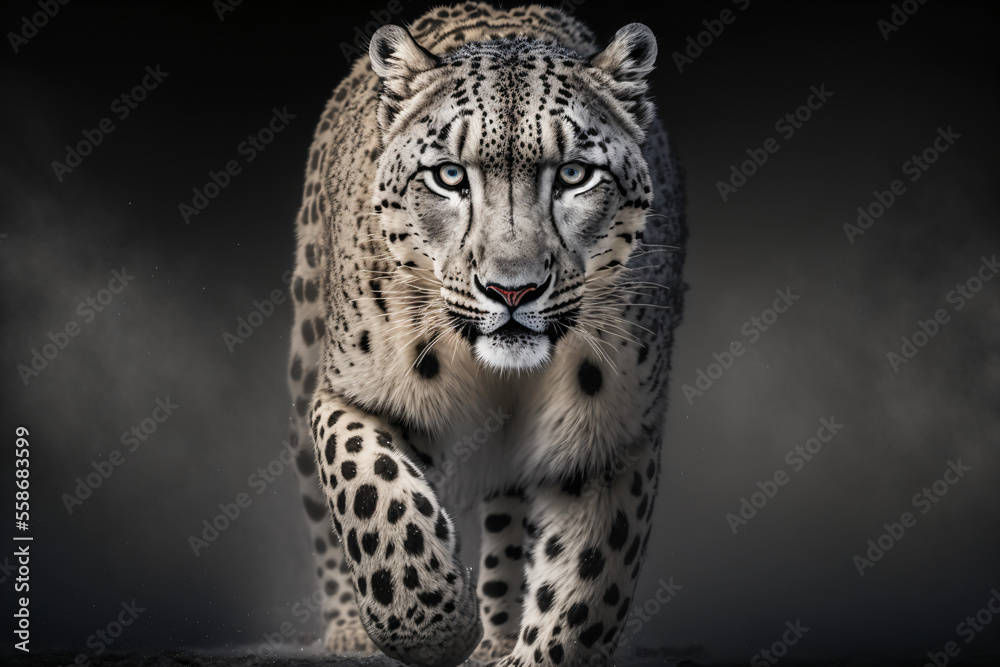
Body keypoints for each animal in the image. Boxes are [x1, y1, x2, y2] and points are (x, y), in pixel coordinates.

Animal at [284, 3, 686, 666]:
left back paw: (495, 636)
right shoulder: (351, 392)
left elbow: (586, 584)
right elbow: (371, 488)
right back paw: (349, 632)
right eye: (449, 176)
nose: (512, 291)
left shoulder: (607, 435)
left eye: (574, 174)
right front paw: (430, 625)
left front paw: (519, 647)